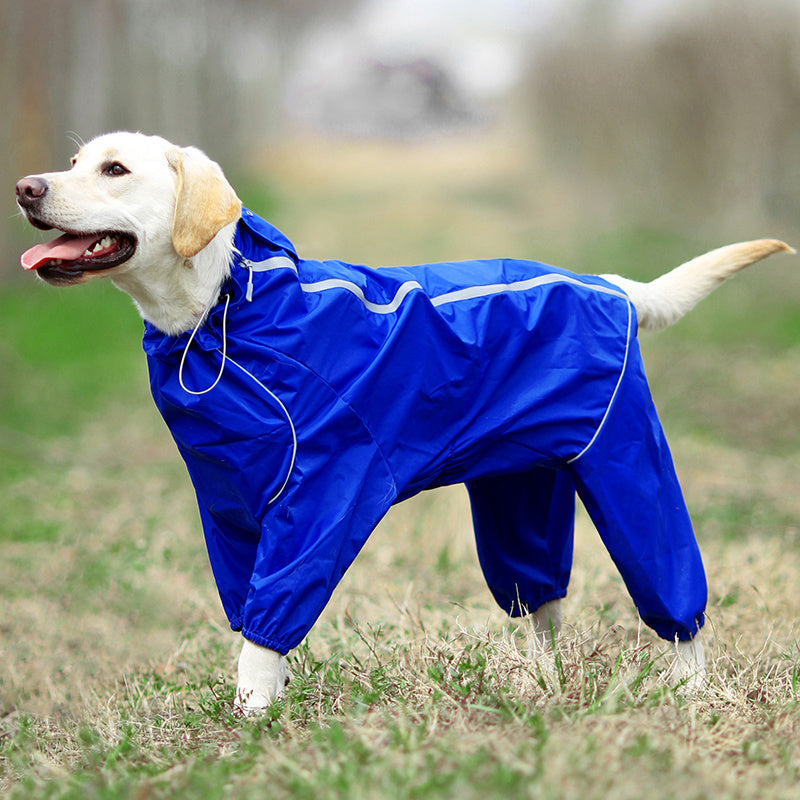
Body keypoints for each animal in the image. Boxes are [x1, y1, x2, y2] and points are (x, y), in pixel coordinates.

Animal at [15, 131, 792, 712]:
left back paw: (688, 689)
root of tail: (607, 285)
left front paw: (251, 720)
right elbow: (249, 614)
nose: (26, 187)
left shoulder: (322, 495)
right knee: (540, 606)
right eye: (75, 162)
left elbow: (265, 628)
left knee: (672, 594)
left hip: (627, 468)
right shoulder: (229, 508)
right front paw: (269, 706)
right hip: (520, 494)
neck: (226, 309)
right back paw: (539, 687)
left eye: (115, 170)